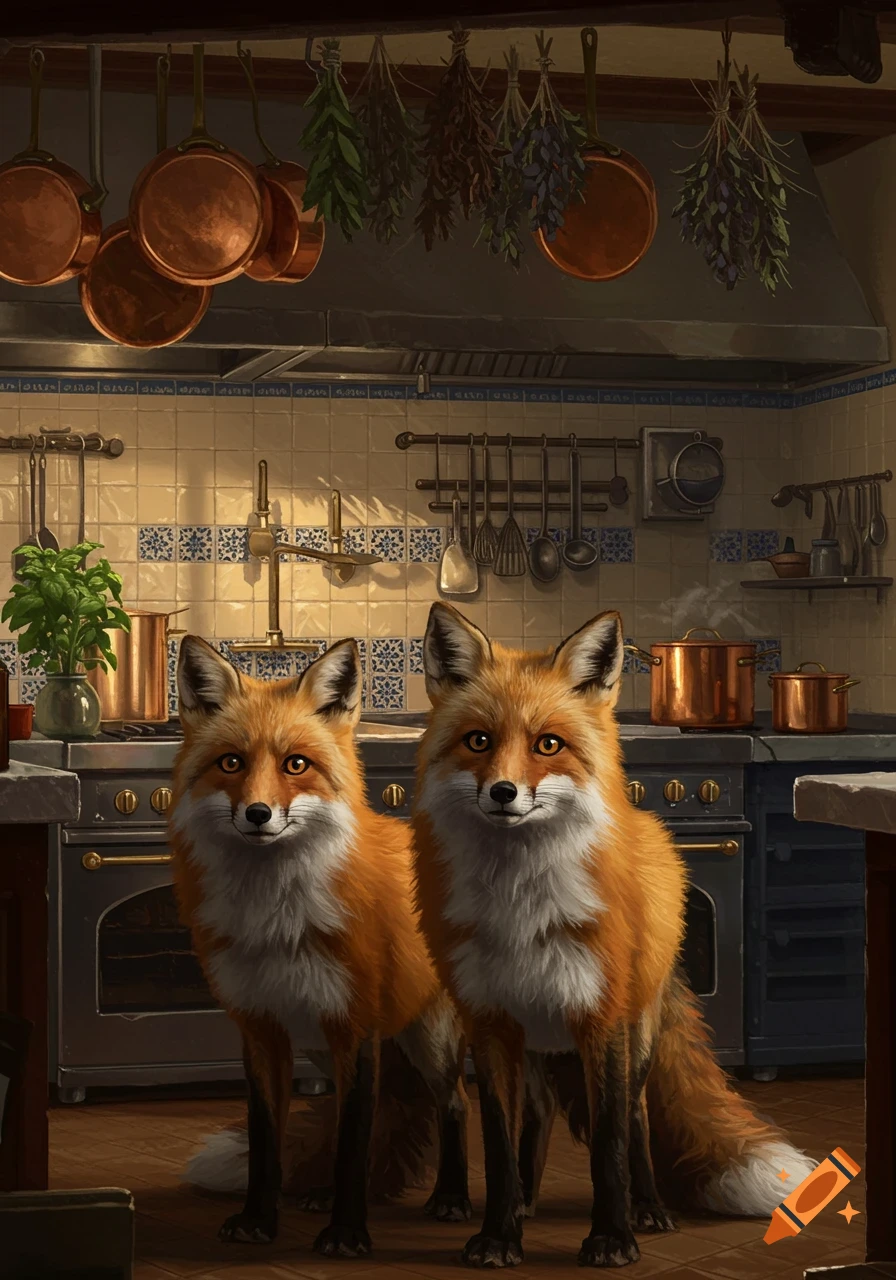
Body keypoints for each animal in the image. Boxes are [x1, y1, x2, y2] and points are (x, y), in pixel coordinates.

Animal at [169, 634, 472, 1257]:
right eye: (231, 762)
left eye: (296, 765)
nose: (258, 814)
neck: (277, 919)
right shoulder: (262, 1030)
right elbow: (267, 1142)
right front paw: (258, 1221)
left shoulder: (355, 1028)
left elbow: (353, 1144)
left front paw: (347, 1232)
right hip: (324, 1048)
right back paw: (319, 1194)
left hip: (429, 1039)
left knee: (457, 1102)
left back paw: (452, 1198)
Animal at [410, 602, 815, 1269]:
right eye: (478, 741)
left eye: (548, 745)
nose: (503, 793)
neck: (523, 905)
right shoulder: (491, 1023)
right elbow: (497, 1145)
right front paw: (499, 1235)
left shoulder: (602, 1020)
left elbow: (609, 1144)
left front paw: (612, 1238)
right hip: (519, 1040)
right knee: (537, 1113)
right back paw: (522, 1201)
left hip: (639, 1034)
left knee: (639, 1121)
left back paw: (647, 1208)